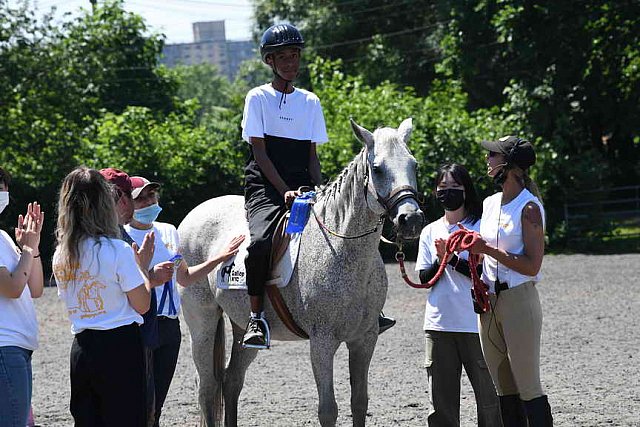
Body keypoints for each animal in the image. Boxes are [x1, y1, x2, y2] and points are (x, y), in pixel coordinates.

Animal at [178, 118, 422, 427]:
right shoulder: (322, 342)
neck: (342, 248)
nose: (411, 219)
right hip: (202, 321)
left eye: (414, 165)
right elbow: (328, 409)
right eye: (377, 168)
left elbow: (359, 402)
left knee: (231, 381)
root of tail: (196, 213)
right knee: (208, 387)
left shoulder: (365, 339)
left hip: (242, 325)